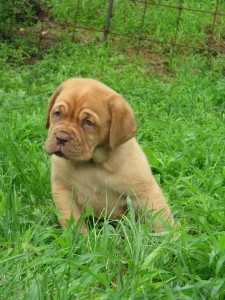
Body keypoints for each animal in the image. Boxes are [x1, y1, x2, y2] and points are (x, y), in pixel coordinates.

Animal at [44, 78, 174, 232]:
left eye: (88, 123)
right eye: (57, 114)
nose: (61, 138)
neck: (93, 163)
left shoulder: (146, 192)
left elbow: (162, 219)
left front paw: (173, 237)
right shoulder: (63, 191)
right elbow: (72, 221)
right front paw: (78, 237)